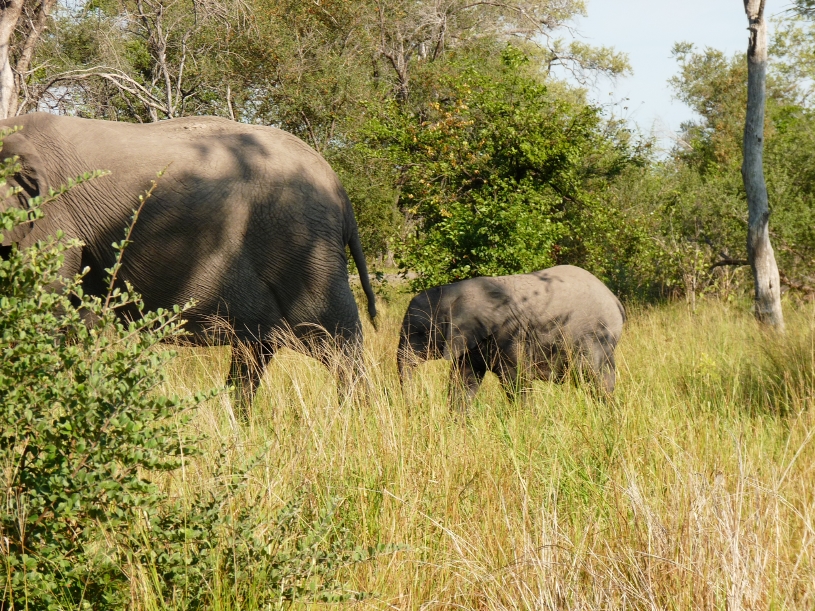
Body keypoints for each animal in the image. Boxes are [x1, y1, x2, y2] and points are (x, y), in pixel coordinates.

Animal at [0, 112, 376, 411]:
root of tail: (339, 189)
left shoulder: (50, 214)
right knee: (255, 352)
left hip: (303, 245)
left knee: (335, 341)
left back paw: (356, 420)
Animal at [397, 265, 625, 405]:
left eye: (420, 333)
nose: (415, 406)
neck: (455, 291)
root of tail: (615, 300)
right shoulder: (472, 339)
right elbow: (463, 379)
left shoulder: (511, 332)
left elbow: (516, 379)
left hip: (595, 334)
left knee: (594, 376)